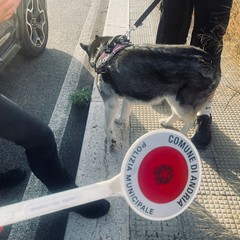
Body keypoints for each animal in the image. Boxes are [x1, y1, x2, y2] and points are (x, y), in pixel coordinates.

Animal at [81, 35, 220, 147]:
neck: (105, 52)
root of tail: (210, 62)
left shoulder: (111, 103)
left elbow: (106, 126)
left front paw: (111, 140)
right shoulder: (127, 97)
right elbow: (125, 111)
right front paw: (121, 121)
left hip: (181, 103)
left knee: (190, 120)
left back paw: (181, 134)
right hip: (173, 97)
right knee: (176, 113)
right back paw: (167, 122)